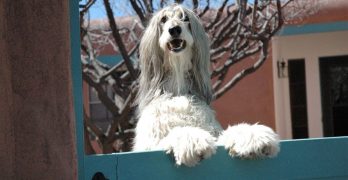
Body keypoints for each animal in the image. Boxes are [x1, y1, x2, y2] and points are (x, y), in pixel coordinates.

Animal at [133, 4, 280, 167]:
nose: (174, 29)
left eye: (185, 18)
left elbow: (224, 134)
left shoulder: (212, 130)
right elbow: (176, 133)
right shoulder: (150, 142)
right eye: (163, 19)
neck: (178, 87)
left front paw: (252, 135)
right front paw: (191, 139)